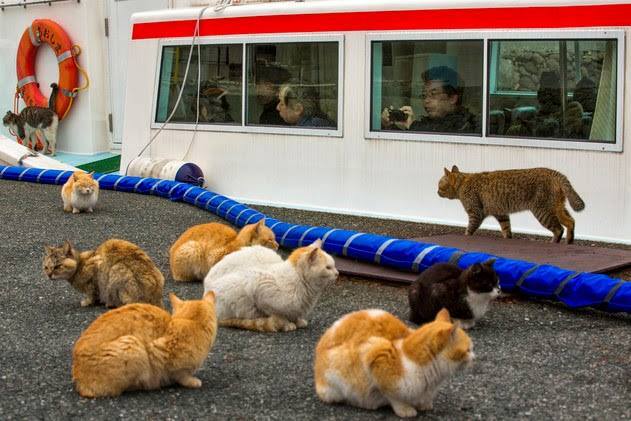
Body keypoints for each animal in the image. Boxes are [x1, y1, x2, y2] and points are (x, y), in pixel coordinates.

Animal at [72, 290, 217, 396]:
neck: (189, 322)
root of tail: (78, 380)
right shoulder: (159, 351)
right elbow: (181, 374)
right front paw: (192, 381)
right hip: (133, 345)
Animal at [205, 236, 338, 332]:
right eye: (328, 268)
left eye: (334, 265)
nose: (337, 273)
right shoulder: (259, 286)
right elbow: (277, 314)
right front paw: (286, 324)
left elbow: (296, 314)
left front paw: (298, 321)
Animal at [316, 306, 474, 416]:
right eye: (468, 350)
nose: (475, 357)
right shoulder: (376, 352)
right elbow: (392, 396)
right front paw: (405, 409)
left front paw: (424, 404)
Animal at [440, 165, 588, 243]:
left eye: (439, 185)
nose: (436, 191)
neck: (463, 182)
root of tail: (554, 172)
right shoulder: (501, 214)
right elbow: (506, 229)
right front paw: (508, 238)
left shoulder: (475, 213)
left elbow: (469, 229)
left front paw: (466, 236)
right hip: (557, 208)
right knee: (570, 222)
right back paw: (569, 241)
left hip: (542, 211)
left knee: (558, 229)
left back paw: (554, 242)